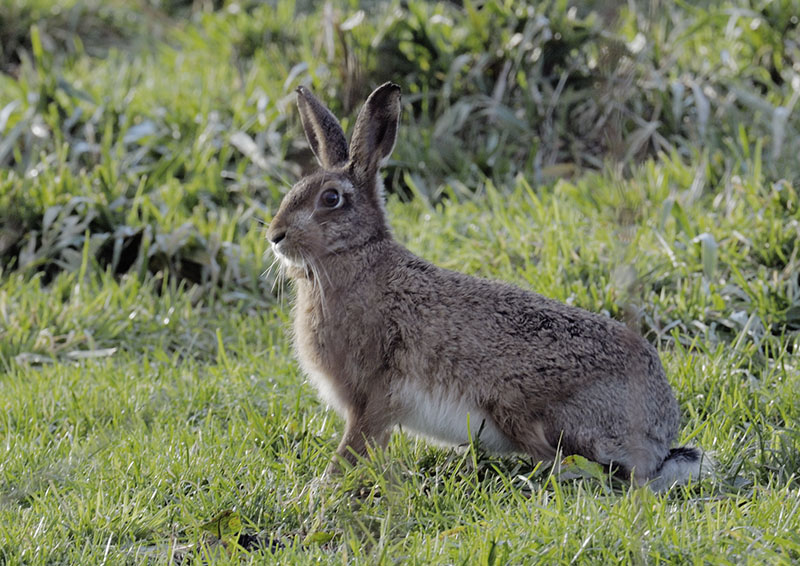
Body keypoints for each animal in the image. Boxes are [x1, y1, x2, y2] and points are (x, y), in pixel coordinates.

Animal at [267, 82, 710, 491]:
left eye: (331, 199)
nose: (275, 235)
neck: (355, 253)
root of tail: (660, 436)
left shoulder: (371, 396)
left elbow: (354, 447)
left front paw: (321, 488)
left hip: (521, 410)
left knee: (572, 466)